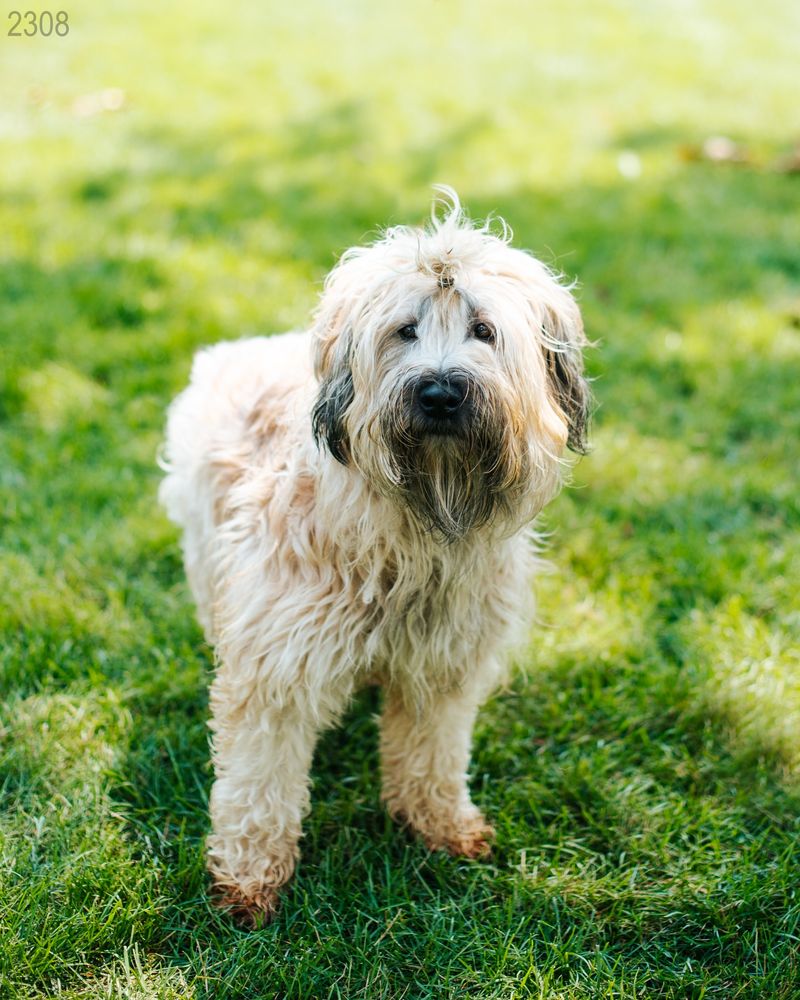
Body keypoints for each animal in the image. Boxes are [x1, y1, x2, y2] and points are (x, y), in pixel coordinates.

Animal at [159, 191, 592, 924]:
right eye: (404, 331)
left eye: (483, 330)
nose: (440, 393)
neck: (413, 534)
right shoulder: (277, 669)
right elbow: (259, 781)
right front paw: (248, 879)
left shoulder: (444, 664)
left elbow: (433, 755)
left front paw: (439, 824)